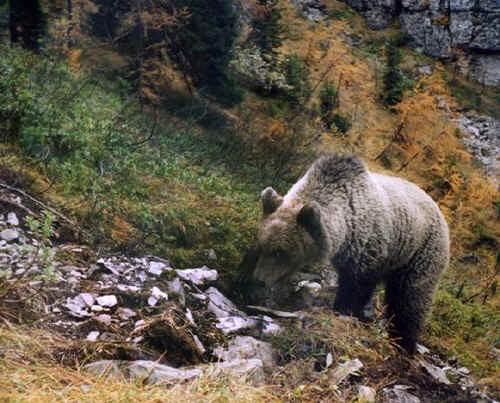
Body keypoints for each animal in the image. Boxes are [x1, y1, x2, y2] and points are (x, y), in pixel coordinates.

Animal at [250, 155, 450, 354]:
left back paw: (404, 341)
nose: (258, 279)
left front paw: (343, 310)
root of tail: (437, 208)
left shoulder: (367, 248)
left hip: (419, 251)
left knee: (410, 297)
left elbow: (355, 287)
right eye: (261, 245)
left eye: (279, 252)